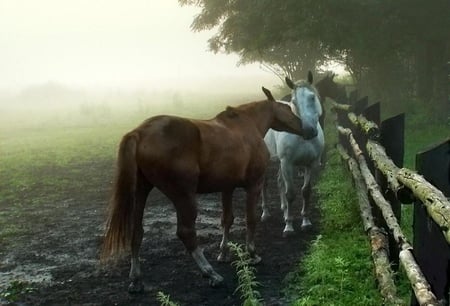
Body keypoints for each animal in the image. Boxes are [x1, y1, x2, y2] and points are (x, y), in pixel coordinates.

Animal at [101, 86, 316, 292]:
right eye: (289, 108)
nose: (311, 130)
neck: (247, 126)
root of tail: (139, 132)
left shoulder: (227, 187)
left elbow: (227, 220)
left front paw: (224, 252)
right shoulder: (253, 185)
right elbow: (250, 219)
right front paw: (252, 254)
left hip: (141, 192)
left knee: (137, 232)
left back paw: (136, 279)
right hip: (183, 196)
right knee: (186, 233)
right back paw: (211, 274)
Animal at [262, 71, 326, 237]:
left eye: (312, 97)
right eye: (294, 102)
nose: (309, 131)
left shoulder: (311, 164)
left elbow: (306, 191)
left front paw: (306, 222)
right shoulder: (287, 163)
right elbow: (290, 193)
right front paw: (289, 227)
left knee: (279, 181)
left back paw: (284, 210)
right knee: (264, 184)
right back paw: (265, 213)